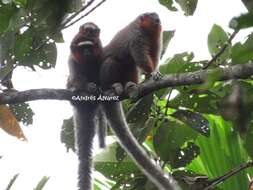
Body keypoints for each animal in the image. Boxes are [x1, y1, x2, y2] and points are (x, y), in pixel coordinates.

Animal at [100, 12, 179, 190]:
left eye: (156, 15)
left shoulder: (157, 36)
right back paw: (112, 85)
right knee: (112, 60)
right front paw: (151, 73)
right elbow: (140, 55)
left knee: (131, 66)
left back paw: (130, 85)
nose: (157, 18)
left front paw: (154, 72)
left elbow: (154, 54)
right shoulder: (136, 35)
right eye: (150, 15)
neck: (147, 31)